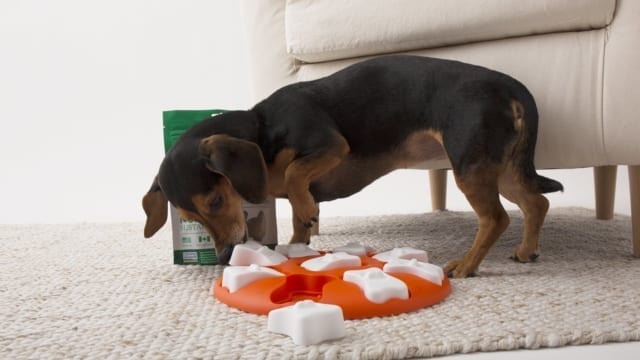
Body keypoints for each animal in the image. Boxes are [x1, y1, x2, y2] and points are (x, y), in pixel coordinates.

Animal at [142, 54, 564, 278]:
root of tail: (510, 86)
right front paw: (299, 239)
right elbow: (298, 218)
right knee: (535, 202)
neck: (262, 128)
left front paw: (306, 211)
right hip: (498, 167)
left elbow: (295, 176)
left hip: (470, 163)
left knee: (496, 218)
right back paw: (527, 250)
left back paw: (467, 265)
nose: (225, 257)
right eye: (189, 219)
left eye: (215, 201)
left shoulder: (330, 145)